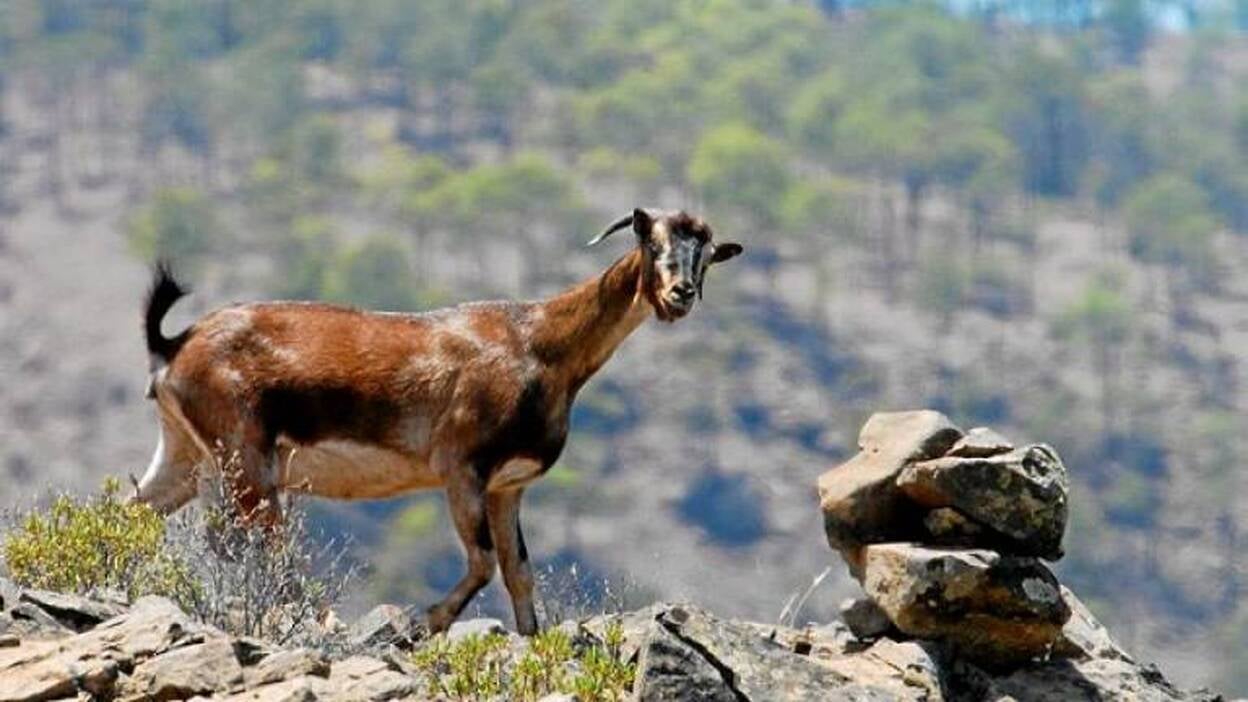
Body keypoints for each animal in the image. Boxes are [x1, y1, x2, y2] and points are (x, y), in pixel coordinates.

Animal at [133, 208, 743, 635]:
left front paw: (531, 639)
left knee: (137, 511)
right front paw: (423, 623)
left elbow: (519, 572)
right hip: (247, 458)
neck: (540, 345)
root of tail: (176, 344)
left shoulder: (506, 486)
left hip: (188, 457)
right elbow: (483, 562)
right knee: (261, 547)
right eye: (652, 242)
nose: (680, 294)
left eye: (707, 255)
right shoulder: (462, 468)